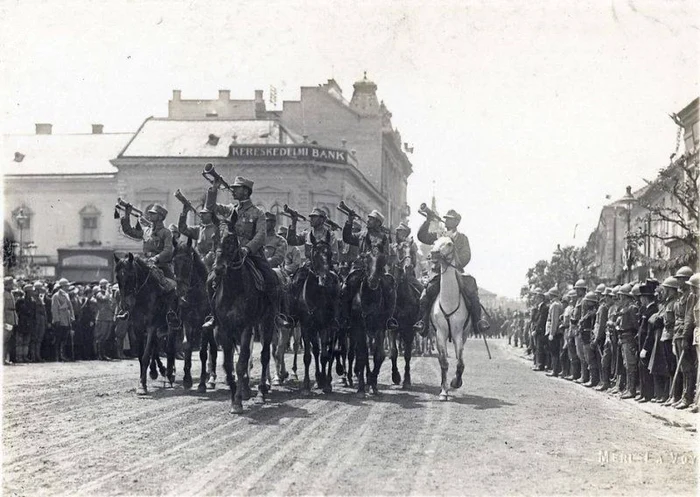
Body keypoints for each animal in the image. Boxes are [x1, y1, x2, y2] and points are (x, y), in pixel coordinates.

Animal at [113, 254, 179, 394]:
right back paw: (157, 370)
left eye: (131, 275)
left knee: (170, 348)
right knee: (156, 347)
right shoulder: (138, 328)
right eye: (117, 277)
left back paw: (169, 374)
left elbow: (145, 355)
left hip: (171, 326)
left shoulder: (151, 327)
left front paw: (142, 386)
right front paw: (142, 382)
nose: (125, 305)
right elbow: (141, 356)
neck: (143, 297)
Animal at [426, 235, 470, 400]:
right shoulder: (440, 333)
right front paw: (444, 391)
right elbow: (444, 362)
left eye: (450, 243)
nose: (433, 253)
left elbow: (460, 362)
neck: (449, 301)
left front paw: (455, 382)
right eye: (434, 242)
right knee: (440, 359)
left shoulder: (458, 334)